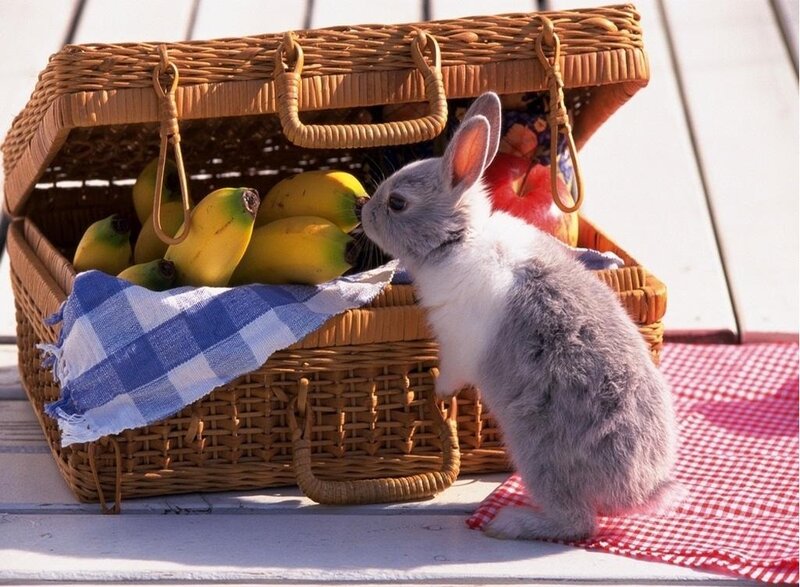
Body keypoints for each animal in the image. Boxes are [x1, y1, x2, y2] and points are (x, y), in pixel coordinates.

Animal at [360, 92, 677, 542]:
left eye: (398, 203)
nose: (364, 213)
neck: (460, 239)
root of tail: (640, 490)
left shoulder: (458, 344)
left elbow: (451, 373)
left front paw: (436, 391)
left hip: (537, 455)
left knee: (577, 522)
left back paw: (509, 522)